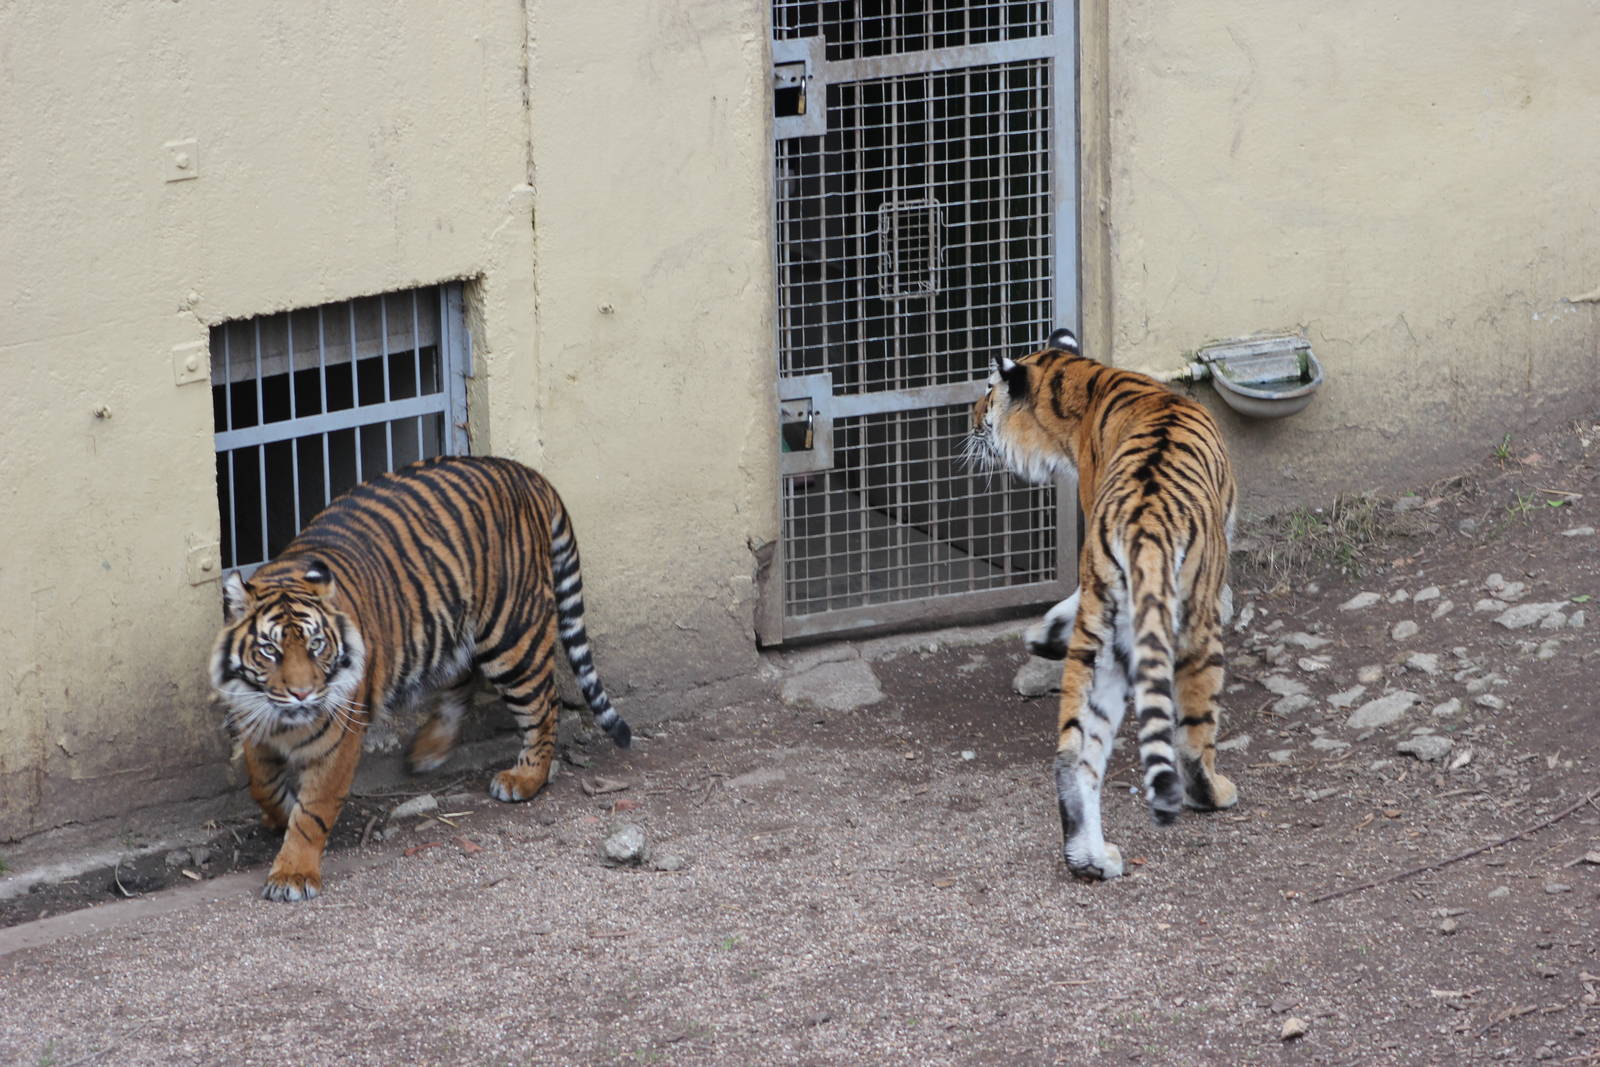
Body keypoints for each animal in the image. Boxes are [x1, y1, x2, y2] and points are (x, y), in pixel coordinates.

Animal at [210, 455, 632, 901]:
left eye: (317, 645)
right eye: (270, 650)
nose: (303, 695)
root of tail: (523, 471)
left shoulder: (339, 738)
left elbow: (314, 811)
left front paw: (293, 872)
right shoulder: (253, 720)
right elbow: (261, 782)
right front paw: (281, 813)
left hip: (512, 635)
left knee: (543, 705)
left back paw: (524, 778)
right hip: (450, 627)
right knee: (461, 679)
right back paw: (428, 750)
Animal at [968, 328, 1239, 880]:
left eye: (987, 391)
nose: (969, 414)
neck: (1085, 383)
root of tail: (1146, 528)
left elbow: (1068, 598)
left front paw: (1043, 635)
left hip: (1100, 650)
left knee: (1073, 756)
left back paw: (1090, 859)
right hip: (1197, 630)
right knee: (1193, 737)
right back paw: (1213, 794)